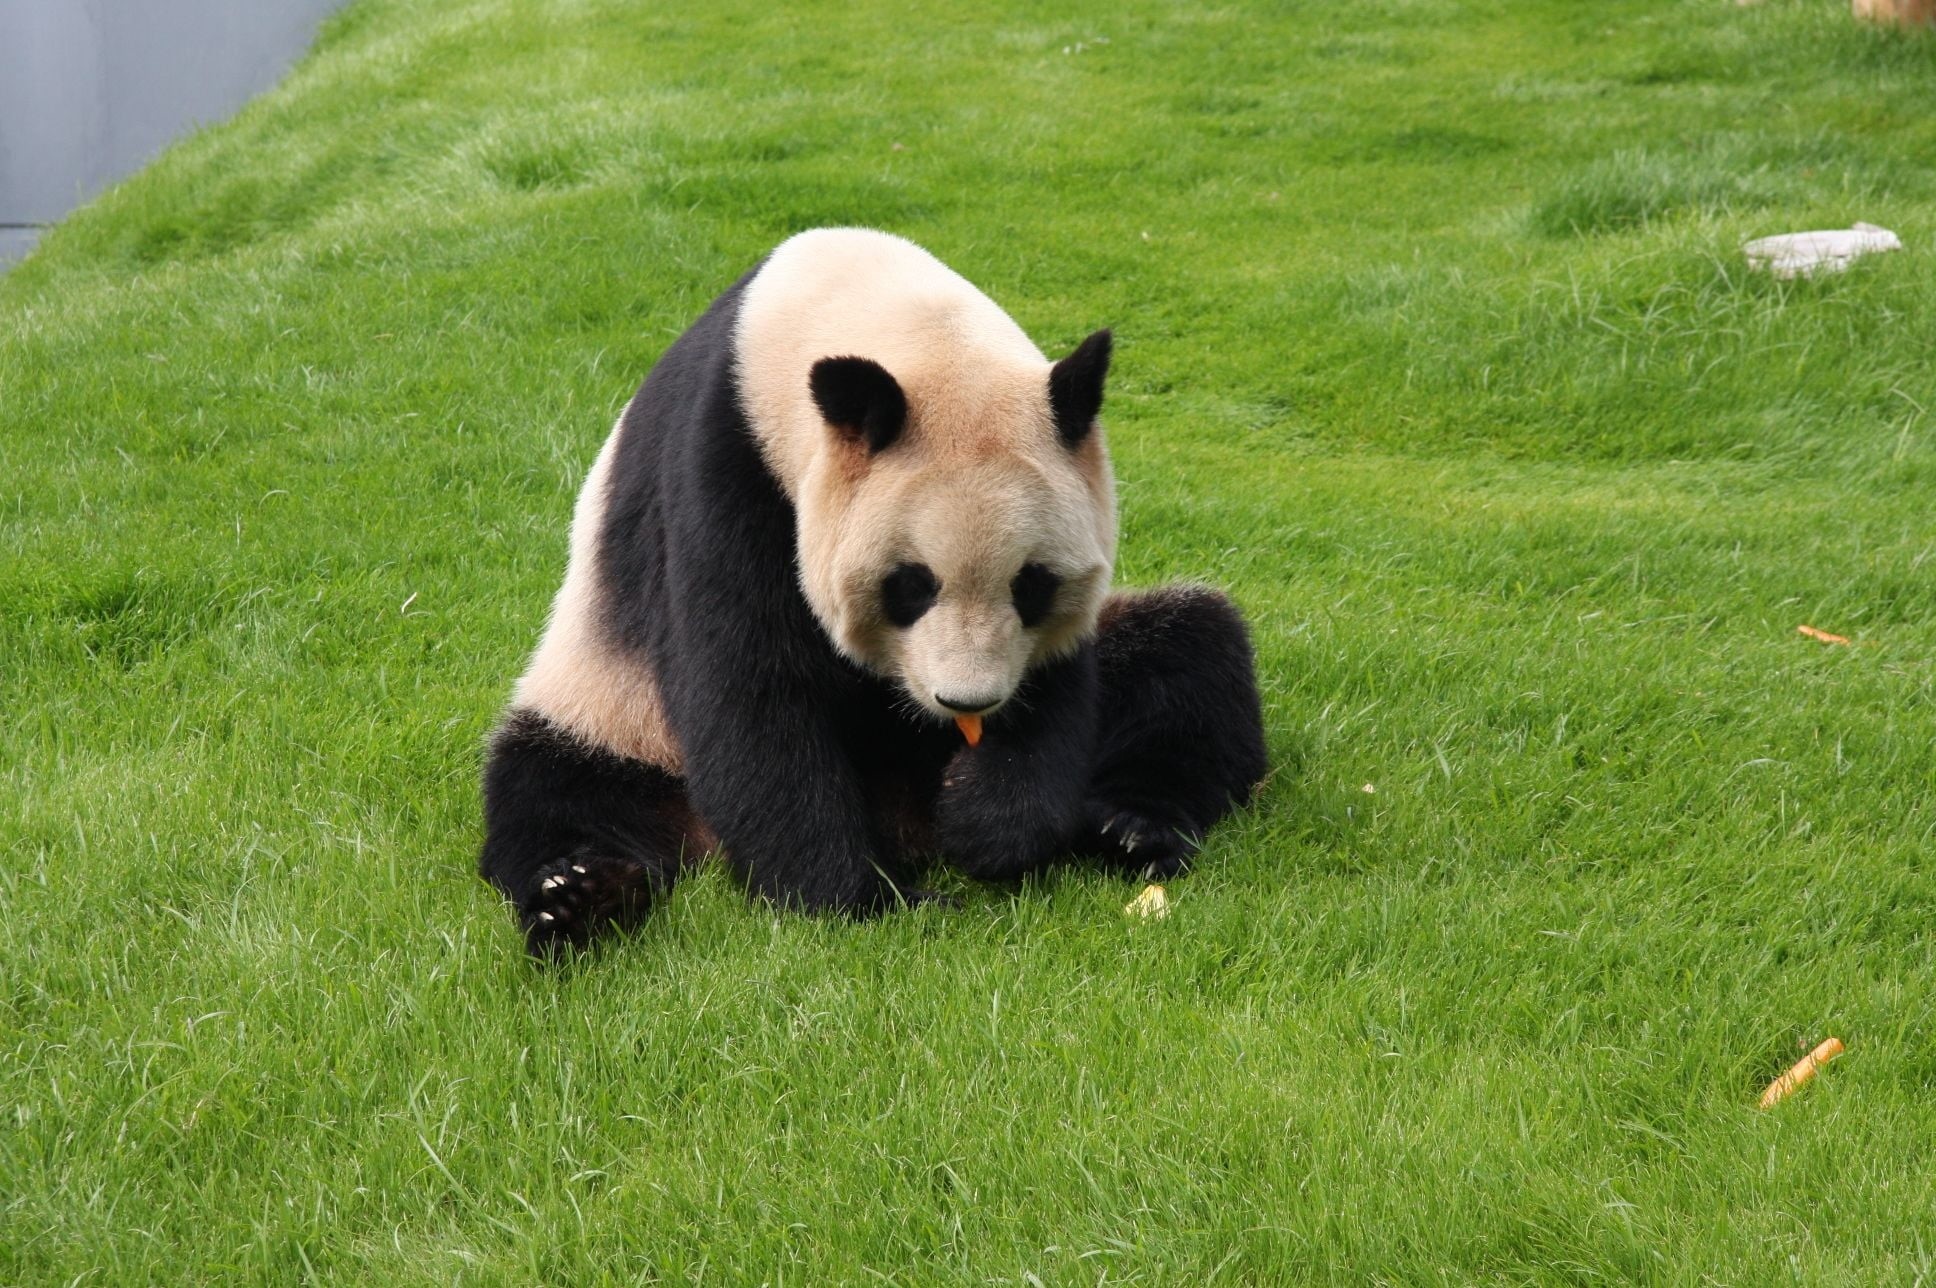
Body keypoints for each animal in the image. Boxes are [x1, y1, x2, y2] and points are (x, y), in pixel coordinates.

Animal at [481, 228, 1267, 955]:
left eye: (1032, 586)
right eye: (910, 586)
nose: (966, 703)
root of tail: (905, 823)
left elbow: (1054, 685)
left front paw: (988, 823)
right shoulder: (724, 471)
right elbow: (751, 687)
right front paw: (861, 899)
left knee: (1192, 656)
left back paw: (1130, 827)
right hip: (615, 707)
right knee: (560, 790)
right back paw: (579, 897)